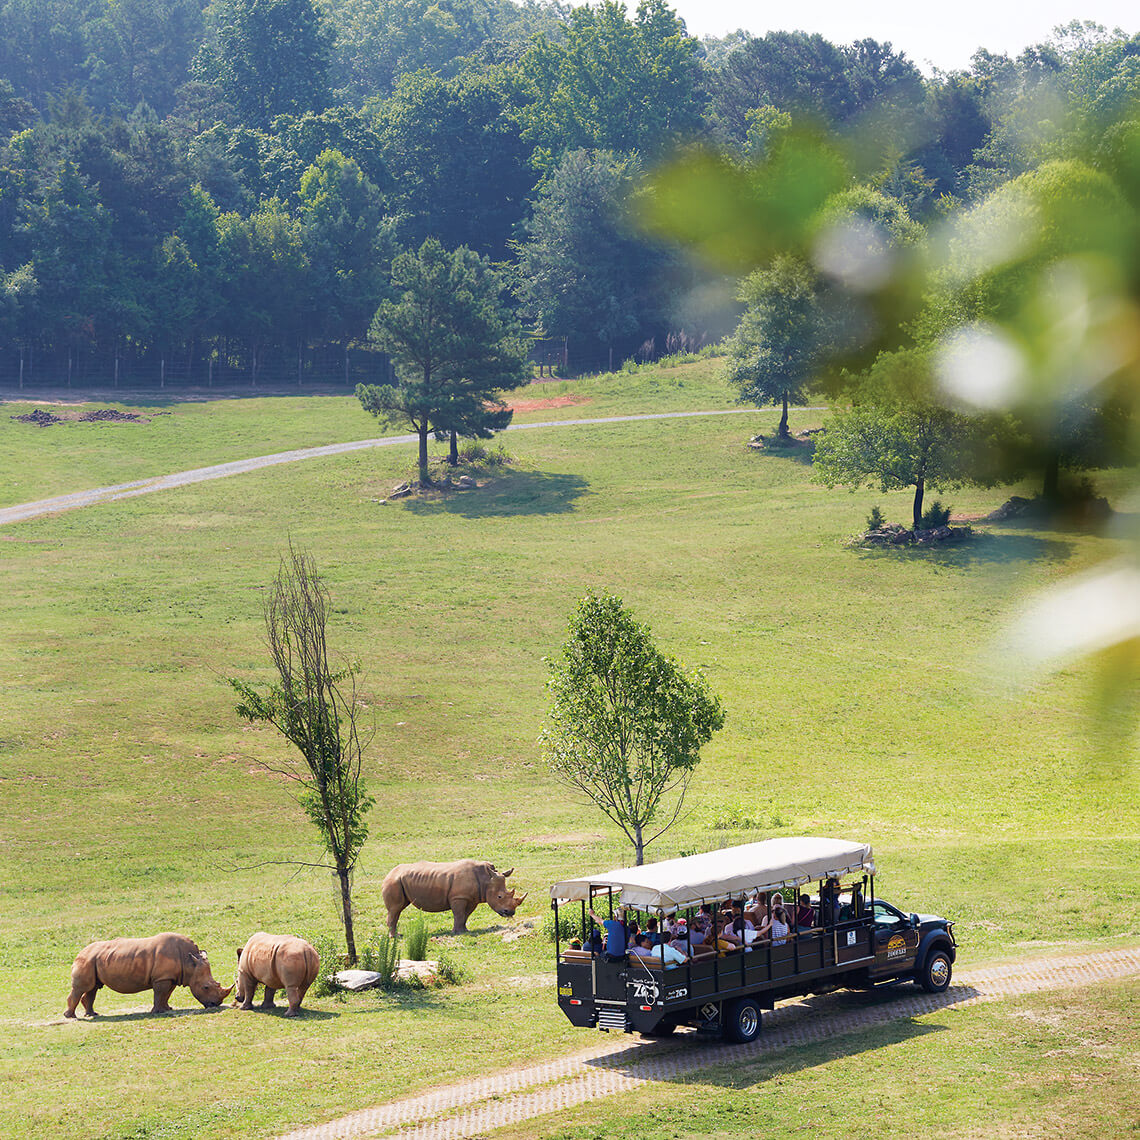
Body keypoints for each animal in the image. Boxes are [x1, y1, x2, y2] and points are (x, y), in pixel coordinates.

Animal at [64, 933, 233, 1018]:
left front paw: (167, 1009)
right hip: (86, 960)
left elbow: (166, 994)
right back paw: (71, 1017)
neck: (189, 961)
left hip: (94, 960)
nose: (215, 1004)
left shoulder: (170, 977)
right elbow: (159, 994)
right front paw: (157, 1012)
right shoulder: (161, 978)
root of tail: (79, 953)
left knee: (93, 988)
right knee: (82, 988)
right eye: (205, 987)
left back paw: (92, 1014)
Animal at [381, 859, 527, 935]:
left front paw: (465, 931)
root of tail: (388, 873)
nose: (510, 912)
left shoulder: (471, 899)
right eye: (499, 896)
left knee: (398, 909)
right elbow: (459, 914)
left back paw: (397, 935)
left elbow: (465, 915)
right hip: (394, 881)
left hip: (399, 881)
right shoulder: (458, 897)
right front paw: (457, 933)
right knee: (395, 909)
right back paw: (395, 937)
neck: (486, 879)